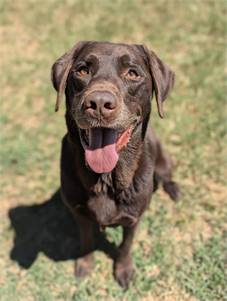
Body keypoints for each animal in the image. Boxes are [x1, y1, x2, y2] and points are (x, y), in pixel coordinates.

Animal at [51, 40, 179, 288]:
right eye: (82, 70)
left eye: (132, 73)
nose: (99, 103)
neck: (105, 179)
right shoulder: (79, 213)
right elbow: (86, 239)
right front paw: (85, 264)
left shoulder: (133, 218)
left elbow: (125, 246)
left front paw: (123, 270)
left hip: (162, 160)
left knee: (166, 174)